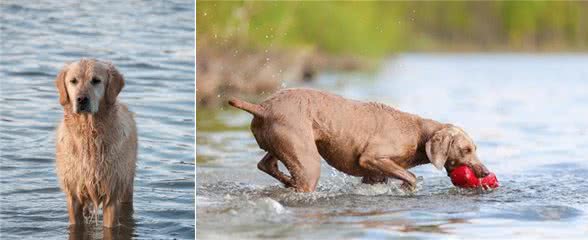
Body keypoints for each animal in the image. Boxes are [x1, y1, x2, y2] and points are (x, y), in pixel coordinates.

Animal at [54, 59, 138, 228]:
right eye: (73, 81)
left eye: (96, 81)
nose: (81, 99)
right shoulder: (73, 193)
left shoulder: (112, 193)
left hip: (127, 185)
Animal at [227, 89, 490, 192]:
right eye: (466, 149)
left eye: (476, 148)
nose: (486, 172)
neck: (418, 133)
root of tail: (262, 107)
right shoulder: (371, 158)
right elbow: (411, 176)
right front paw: (407, 188)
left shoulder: (373, 175)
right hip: (307, 160)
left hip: (284, 143)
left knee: (266, 164)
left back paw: (286, 181)